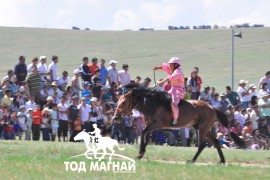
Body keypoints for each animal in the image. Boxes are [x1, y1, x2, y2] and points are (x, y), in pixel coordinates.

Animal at [113, 83, 246, 164]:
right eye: (118, 102)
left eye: (123, 103)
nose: (115, 117)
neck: (153, 104)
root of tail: (212, 107)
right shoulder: (150, 125)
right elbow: (145, 135)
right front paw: (141, 153)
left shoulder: (157, 124)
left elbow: (143, 132)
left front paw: (141, 152)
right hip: (204, 128)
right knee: (217, 142)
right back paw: (222, 160)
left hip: (202, 128)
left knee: (202, 145)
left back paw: (192, 160)